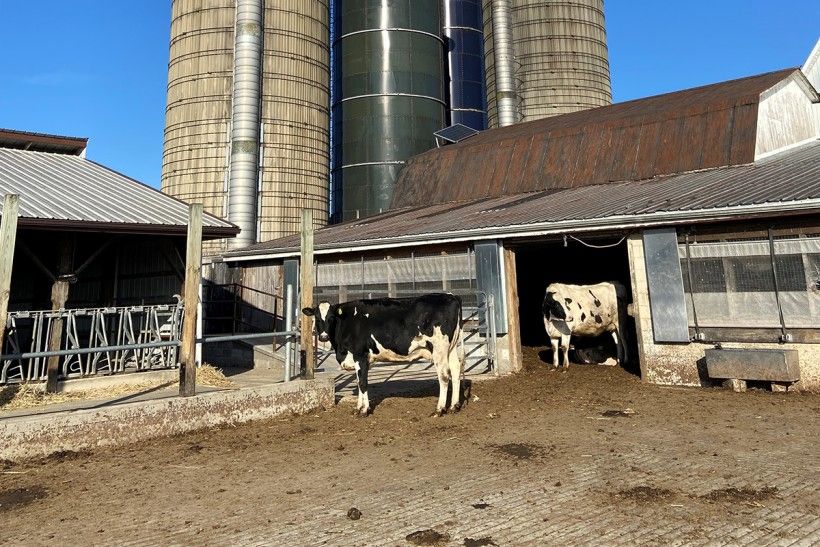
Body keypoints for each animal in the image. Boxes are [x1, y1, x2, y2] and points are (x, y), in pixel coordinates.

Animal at [302, 294, 468, 418]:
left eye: (331, 318)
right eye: (317, 318)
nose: (323, 337)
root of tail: (451, 296)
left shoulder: (361, 355)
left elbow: (363, 383)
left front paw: (364, 410)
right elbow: (359, 382)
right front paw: (358, 408)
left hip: (439, 349)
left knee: (444, 376)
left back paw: (439, 409)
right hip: (451, 349)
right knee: (455, 370)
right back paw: (454, 406)